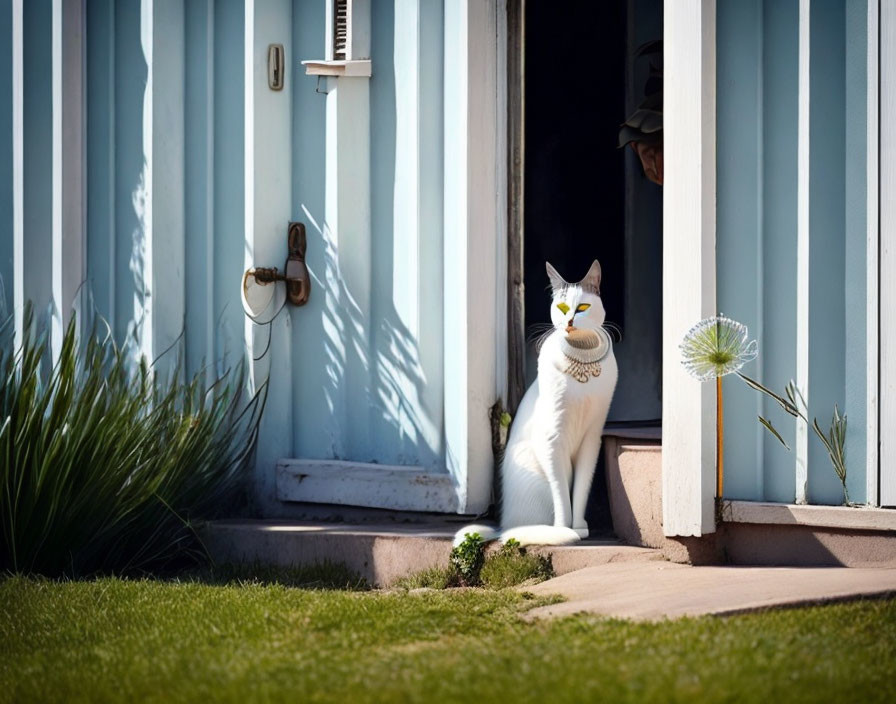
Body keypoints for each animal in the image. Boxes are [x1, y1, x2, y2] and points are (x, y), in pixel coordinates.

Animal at [456, 262, 616, 548]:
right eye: (562, 308)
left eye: (583, 307)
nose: (570, 321)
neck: (582, 364)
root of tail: (503, 525)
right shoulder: (552, 440)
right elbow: (561, 493)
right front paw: (564, 529)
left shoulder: (591, 439)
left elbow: (581, 490)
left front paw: (579, 526)